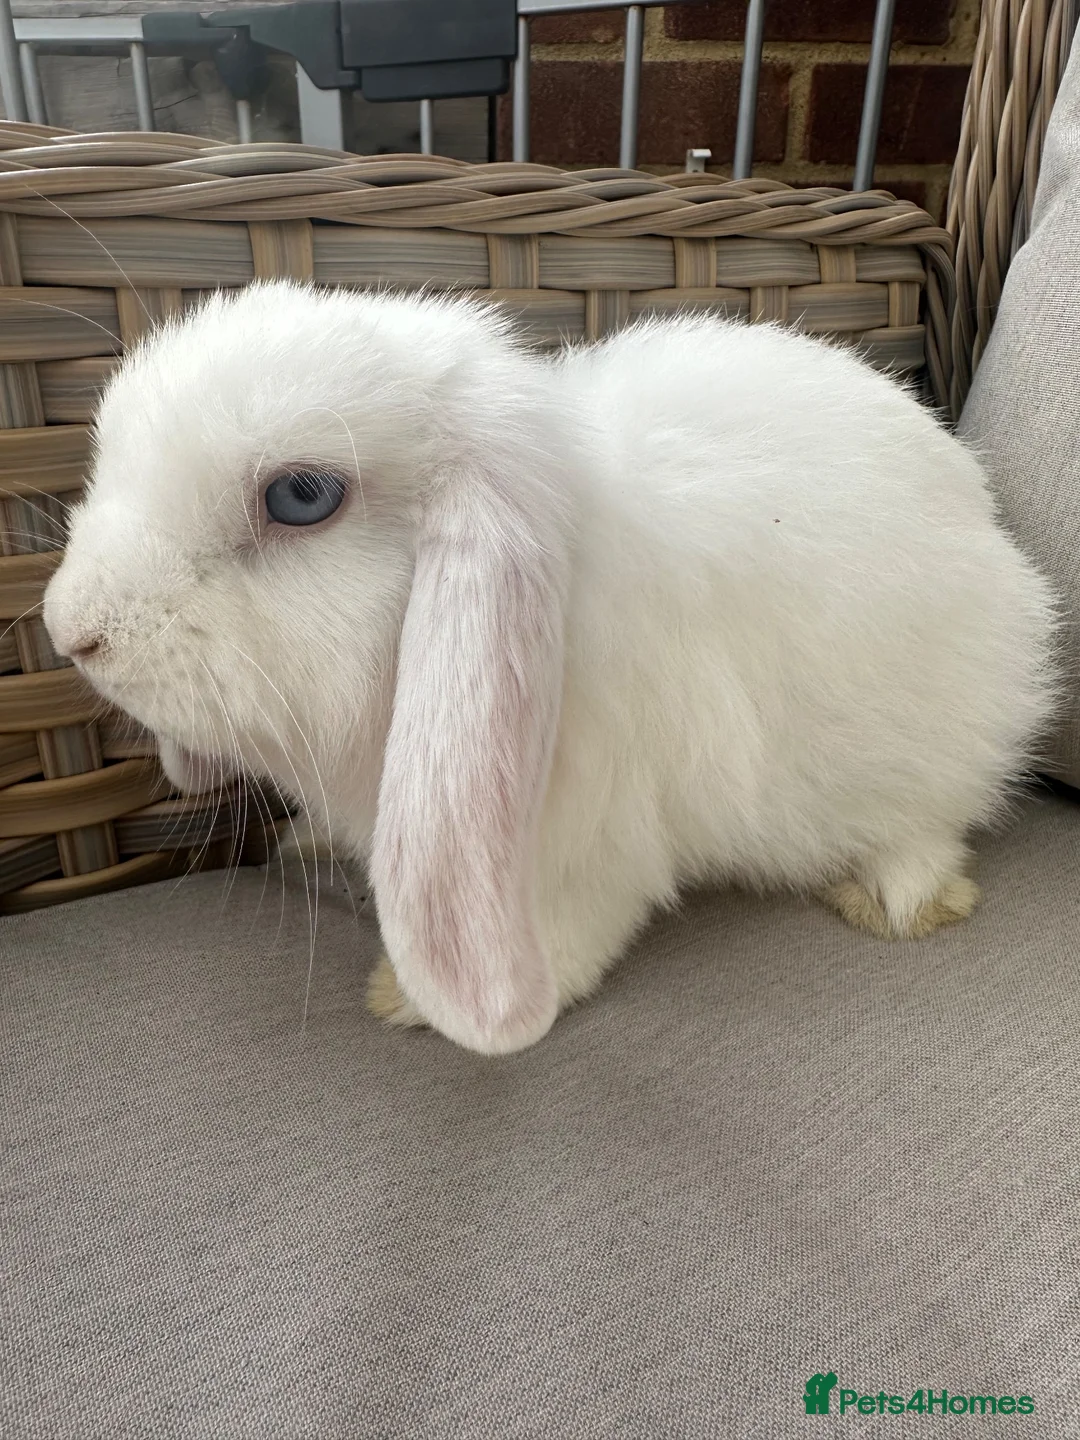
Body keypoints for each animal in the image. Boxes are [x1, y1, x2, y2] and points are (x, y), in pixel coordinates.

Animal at [43, 281, 1057, 1055]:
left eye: (301, 496)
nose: (69, 631)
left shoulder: (590, 843)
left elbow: (568, 931)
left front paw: (414, 1002)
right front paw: (310, 845)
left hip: (939, 747)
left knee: (933, 822)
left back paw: (896, 897)